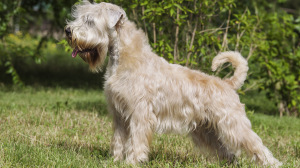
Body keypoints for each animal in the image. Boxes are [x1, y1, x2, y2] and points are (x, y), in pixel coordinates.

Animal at [64, 0, 282, 167]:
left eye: (90, 20)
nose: (67, 30)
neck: (123, 59)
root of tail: (228, 83)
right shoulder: (119, 115)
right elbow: (119, 140)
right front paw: (115, 161)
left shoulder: (139, 113)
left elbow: (136, 140)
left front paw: (132, 161)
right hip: (206, 130)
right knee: (227, 152)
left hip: (234, 125)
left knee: (256, 145)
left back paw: (273, 163)